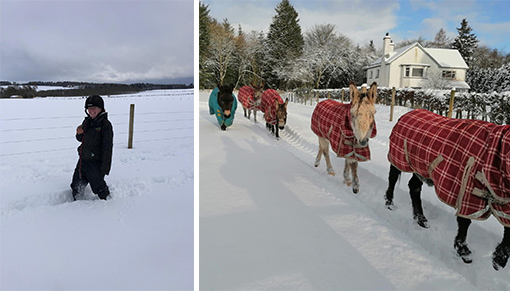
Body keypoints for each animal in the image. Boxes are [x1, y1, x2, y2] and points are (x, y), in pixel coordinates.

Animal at [386, 109, 510, 272]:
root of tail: (407, 114)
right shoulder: (468, 189)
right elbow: (464, 222)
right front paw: (463, 251)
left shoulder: (502, 198)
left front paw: (499, 260)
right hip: (399, 158)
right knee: (393, 179)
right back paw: (389, 203)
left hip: (420, 169)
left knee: (414, 187)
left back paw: (421, 219)